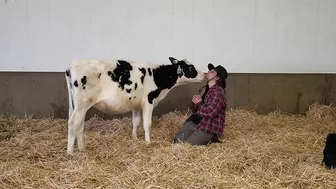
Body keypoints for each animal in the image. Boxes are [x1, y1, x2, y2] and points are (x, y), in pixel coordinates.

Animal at [63, 56, 205, 154]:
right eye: (191, 68)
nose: (204, 74)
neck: (156, 75)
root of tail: (72, 65)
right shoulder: (148, 101)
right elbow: (147, 124)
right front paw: (148, 142)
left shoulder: (136, 104)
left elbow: (136, 121)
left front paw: (134, 138)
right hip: (82, 104)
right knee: (73, 123)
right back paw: (70, 153)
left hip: (77, 105)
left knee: (79, 124)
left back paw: (82, 148)